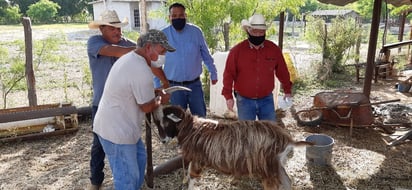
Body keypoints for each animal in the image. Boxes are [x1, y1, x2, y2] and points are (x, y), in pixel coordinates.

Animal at [156, 105, 310, 190]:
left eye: (166, 122)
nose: (163, 140)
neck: (193, 128)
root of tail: (288, 140)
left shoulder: (198, 160)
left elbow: (192, 178)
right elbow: (188, 174)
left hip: (269, 167)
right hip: (278, 165)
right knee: (287, 182)